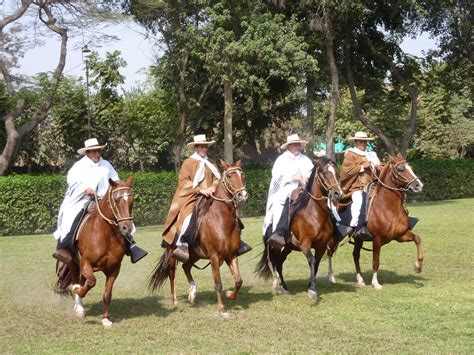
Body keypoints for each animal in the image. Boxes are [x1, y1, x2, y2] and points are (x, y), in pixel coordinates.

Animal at [54, 177, 135, 328]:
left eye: (132, 200)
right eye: (116, 200)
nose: (126, 228)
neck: (107, 234)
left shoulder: (114, 268)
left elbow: (107, 294)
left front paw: (105, 319)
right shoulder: (86, 263)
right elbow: (91, 282)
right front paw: (76, 291)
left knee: (81, 280)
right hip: (73, 262)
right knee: (77, 279)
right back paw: (78, 306)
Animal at [148, 161, 248, 318]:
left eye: (242, 174)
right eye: (229, 176)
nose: (242, 195)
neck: (222, 221)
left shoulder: (231, 255)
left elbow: (238, 280)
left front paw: (230, 295)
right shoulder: (214, 257)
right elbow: (218, 284)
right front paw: (221, 309)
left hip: (194, 255)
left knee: (186, 267)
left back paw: (192, 295)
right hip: (172, 254)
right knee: (172, 273)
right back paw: (175, 300)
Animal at [258, 160, 342, 302]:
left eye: (337, 172)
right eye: (325, 173)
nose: (338, 193)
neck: (314, 214)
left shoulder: (322, 246)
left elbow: (316, 263)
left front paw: (310, 285)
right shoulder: (305, 244)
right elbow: (312, 261)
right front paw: (312, 291)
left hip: (288, 247)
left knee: (279, 263)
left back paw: (283, 287)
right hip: (276, 246)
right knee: (276, 263)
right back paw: (281, 286)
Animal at [328, 154, 424, 290]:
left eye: (411, 167)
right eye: (400, 169)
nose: (418, 185)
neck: (388, 207)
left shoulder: (400, 235)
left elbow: (417, 239)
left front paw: (418, 267)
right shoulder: (377, 239)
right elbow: (376, 261)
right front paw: (376, 283)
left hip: (358, 239)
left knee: (355, 255)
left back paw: (360, 280)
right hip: (335, 236)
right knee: (330, 252)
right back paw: (331, 277)